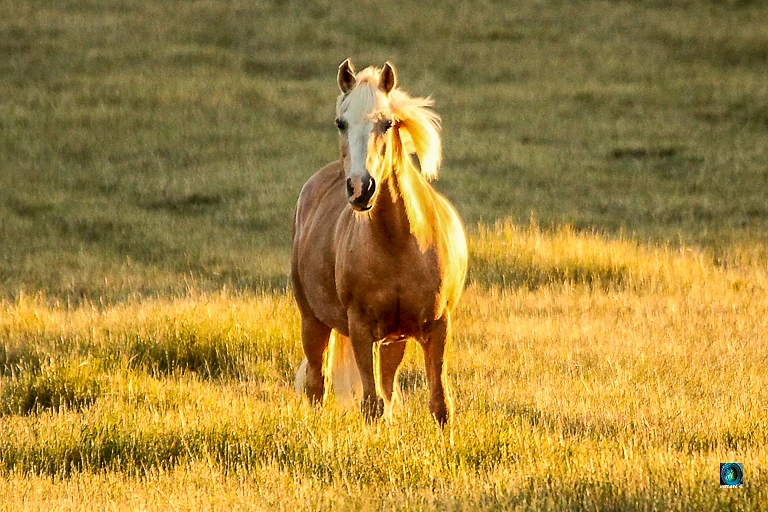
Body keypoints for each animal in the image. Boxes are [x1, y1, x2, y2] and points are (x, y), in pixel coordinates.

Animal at [291, 59, 468, 427]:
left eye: (387, 123)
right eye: (340, 123)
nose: (361, 188)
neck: (399, 243)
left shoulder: (437, 327)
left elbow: (439, 404)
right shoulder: (360, 329)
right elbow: (372, 405)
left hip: (393, 340)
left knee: (386, 387)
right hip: (312, 320)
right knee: (317, 384)